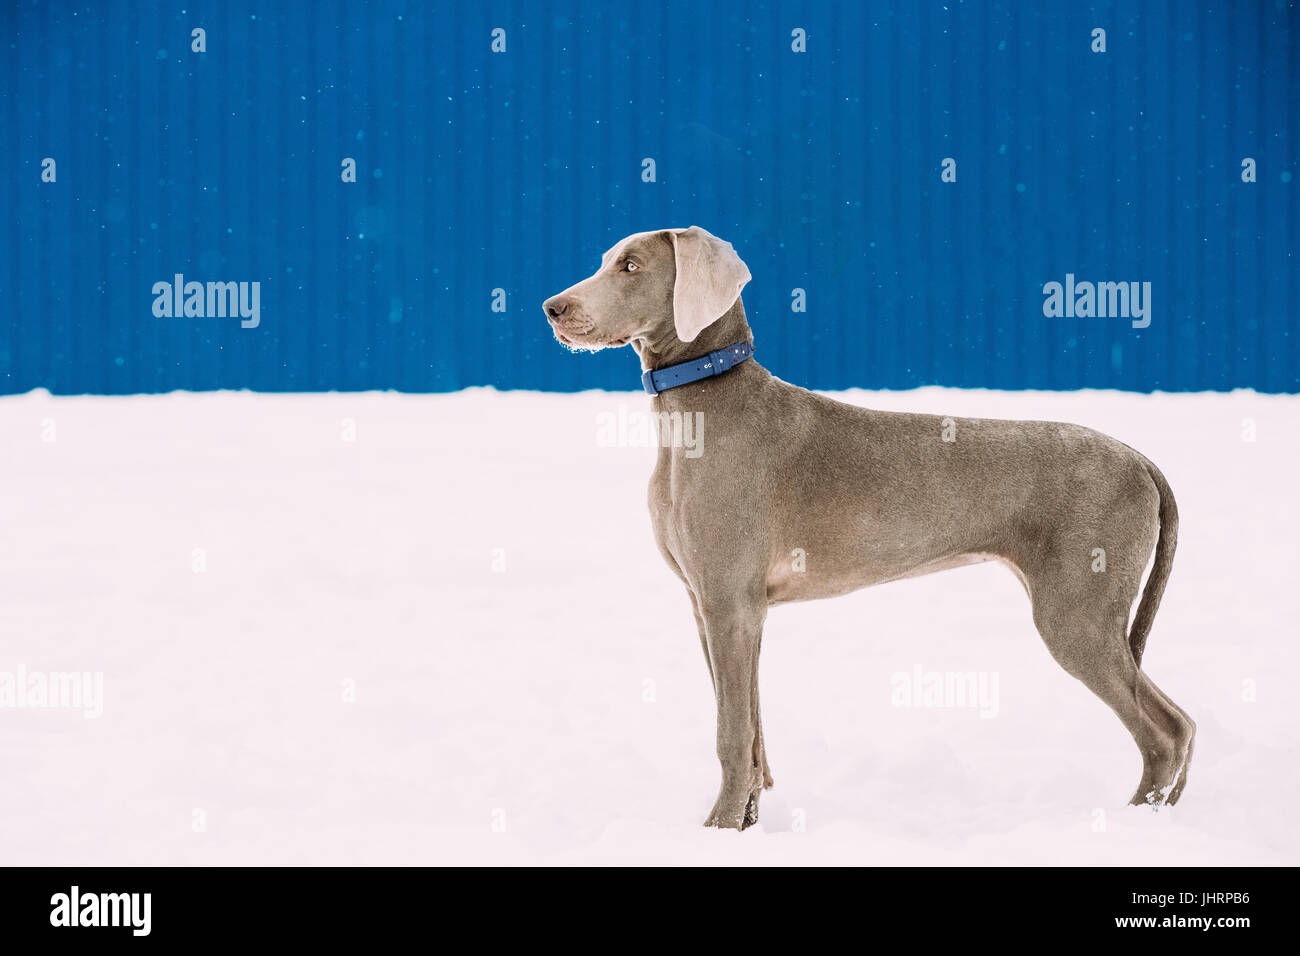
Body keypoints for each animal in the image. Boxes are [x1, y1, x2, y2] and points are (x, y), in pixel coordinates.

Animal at [540, 223, 1196, 832]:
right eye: (606, 259)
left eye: (630, 265)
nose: (552, 307)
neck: (696, 410)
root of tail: (1140, 459)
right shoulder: (722, 608)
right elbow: (754, 733)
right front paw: (746, 824)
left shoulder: (727, 602)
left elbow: (732, 733)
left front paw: (718, 830)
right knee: (1177, 725)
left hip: (1077, 611)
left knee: (1166, 730)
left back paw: (1137, 821)